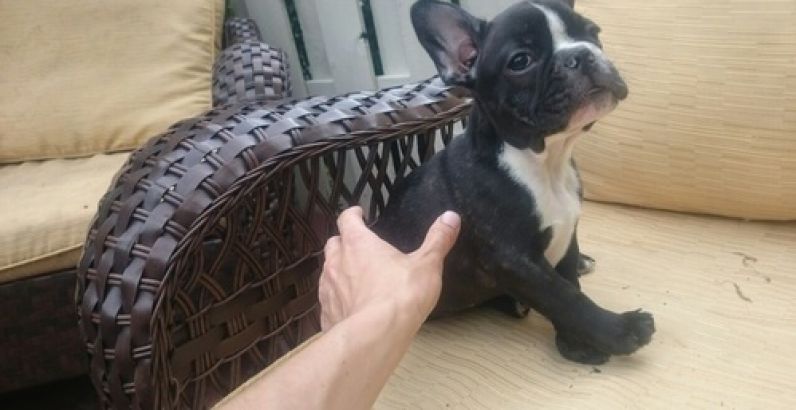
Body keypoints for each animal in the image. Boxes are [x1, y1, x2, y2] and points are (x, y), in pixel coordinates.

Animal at [373, 0, 654, 365]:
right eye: (520, 61)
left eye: (593, 33)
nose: (580, 54)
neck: (546, 163)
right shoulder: (515, 260)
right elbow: (564, 298)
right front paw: (617, 332)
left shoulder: (566, 233)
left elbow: (567, 282)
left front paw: (575, 342)